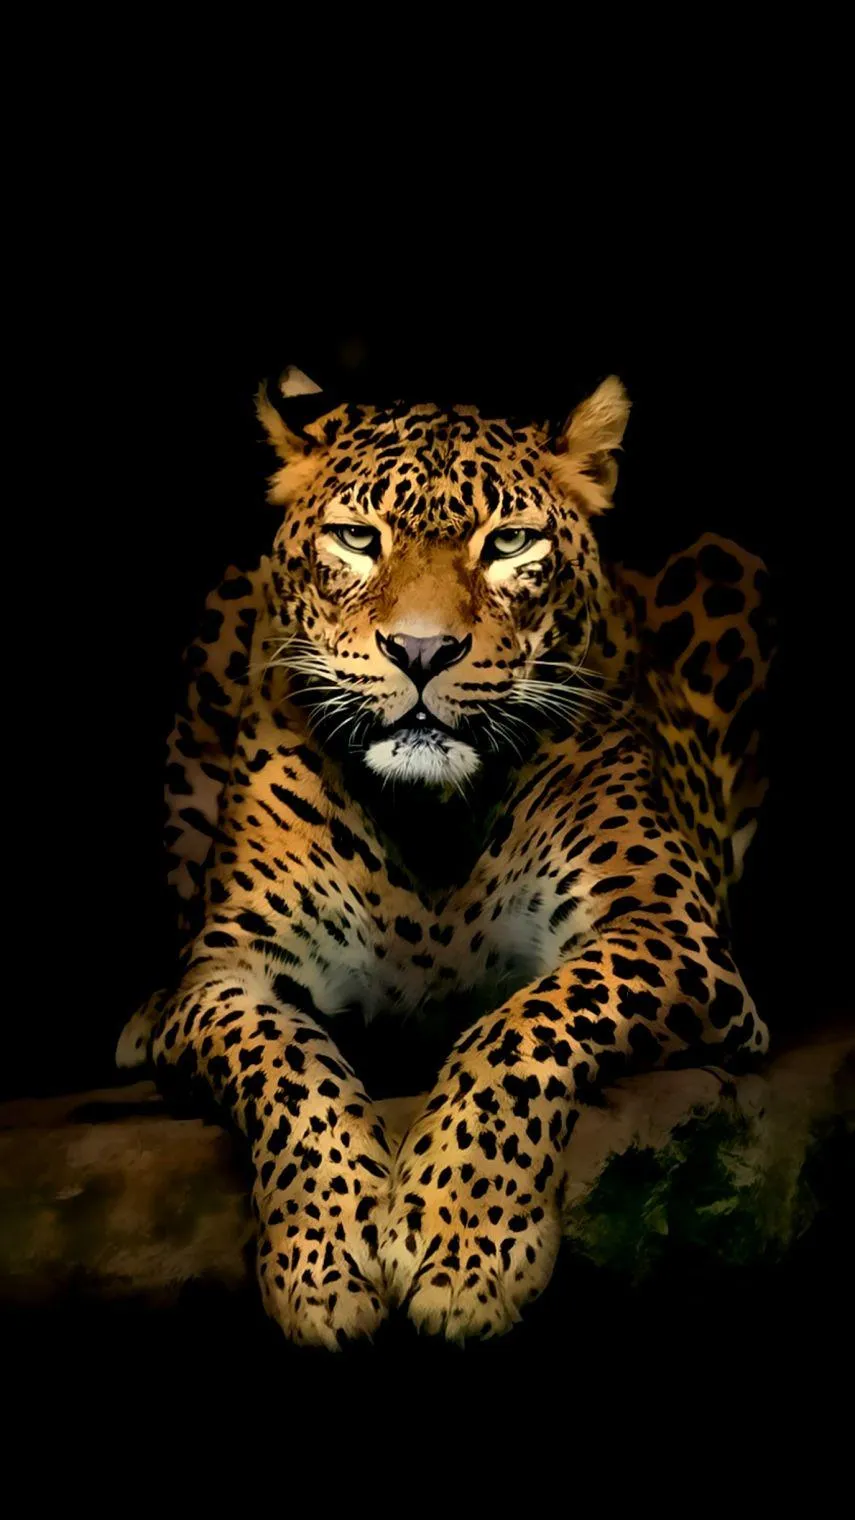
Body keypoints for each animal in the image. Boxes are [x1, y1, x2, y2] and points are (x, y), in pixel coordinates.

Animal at [118, 367, 774, 1348]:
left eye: (508, 543)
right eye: (358, 539)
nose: (421, 651)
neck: (428, 820)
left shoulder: (664, 927)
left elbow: (523, 1027)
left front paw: (462, 1246)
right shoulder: (230, 972)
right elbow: (287, 1068)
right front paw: (323, 1259)